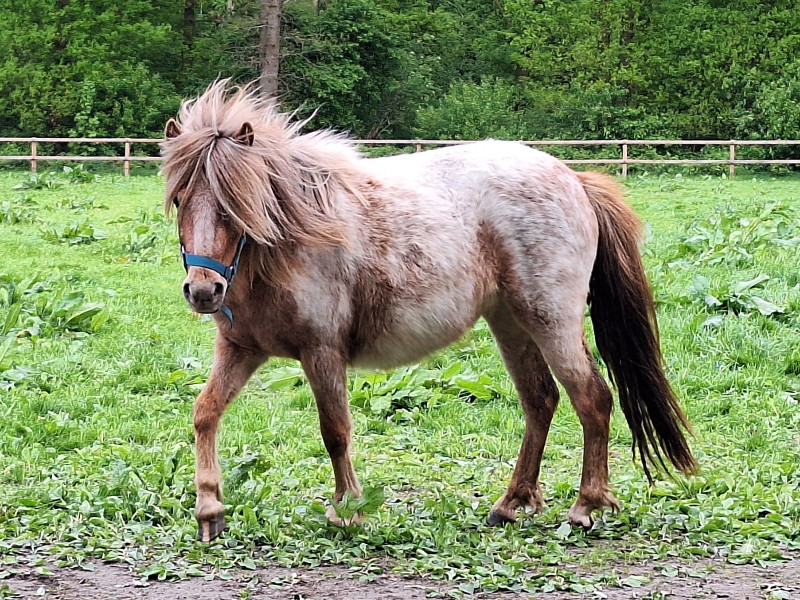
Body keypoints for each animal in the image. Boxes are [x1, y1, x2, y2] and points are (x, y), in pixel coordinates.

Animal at [160, 81, 696, 542]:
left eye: (232, 205)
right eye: (181, 199)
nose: (203, 291)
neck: (284, 243)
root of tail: (574, 179)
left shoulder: (321, 352)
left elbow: (335, 432)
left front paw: (348, 511)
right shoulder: (241, 348)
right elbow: (204, 412)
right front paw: (209, 510)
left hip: (551, 321)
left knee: (591, 398)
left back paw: (586, 505)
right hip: (510, 323)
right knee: (540, 400)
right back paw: (511, 503)